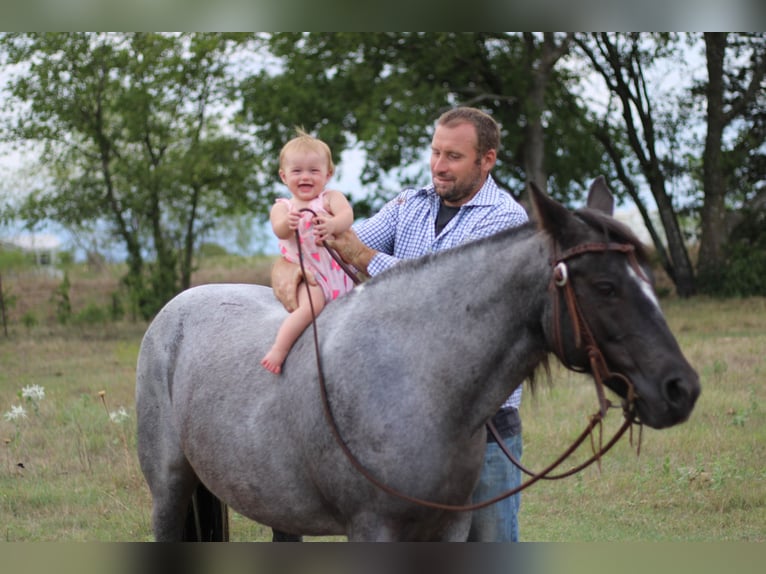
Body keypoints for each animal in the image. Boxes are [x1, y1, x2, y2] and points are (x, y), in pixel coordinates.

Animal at [136, 180, 704, 544]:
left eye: (648, 282)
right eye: (606, 287)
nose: (681, 389)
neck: (421, 383)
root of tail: (175, 308)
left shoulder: (449, 528)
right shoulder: (373, 530)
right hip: (169, 489)